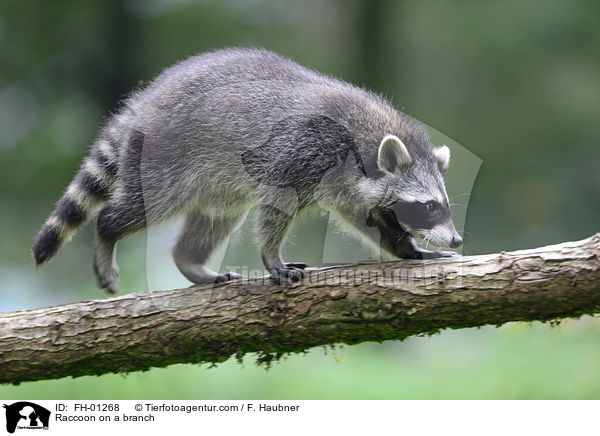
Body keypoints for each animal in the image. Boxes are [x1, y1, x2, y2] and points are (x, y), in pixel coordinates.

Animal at [32, 47, 462, 292]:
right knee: (143, 205)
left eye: (443, 205)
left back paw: (190, 260)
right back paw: (108, 232)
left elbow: (366, 217)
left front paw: (407, 249)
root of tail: (145, 101)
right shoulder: (303, 153)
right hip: (166, 157)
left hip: (217, 182)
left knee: (215, 218)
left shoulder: (346, 184)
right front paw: (272, 257)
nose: (458, 239)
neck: (366, 136)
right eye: (429, 207)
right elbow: (275, 209)